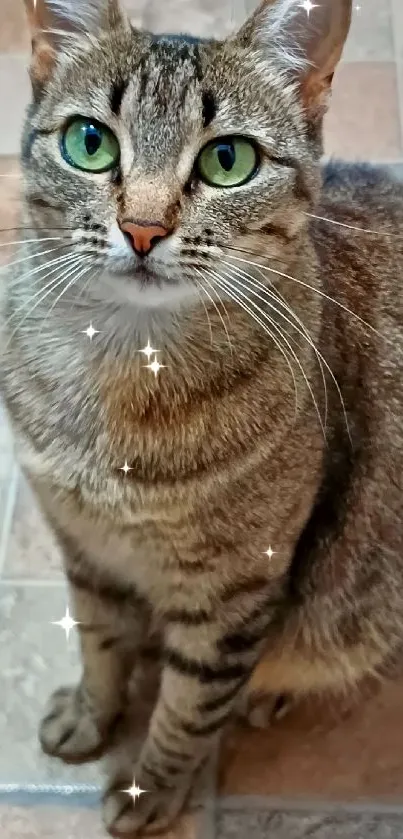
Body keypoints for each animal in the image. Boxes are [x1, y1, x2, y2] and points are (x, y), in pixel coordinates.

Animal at [0, 0, 403, 836]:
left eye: (226, 161)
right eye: (90, 143)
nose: (144, 227)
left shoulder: (232, 597)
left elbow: (186, 710)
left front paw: (147, 788)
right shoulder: (83, 547)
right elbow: (98, 644)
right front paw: (90, 715)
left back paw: (270, 690)